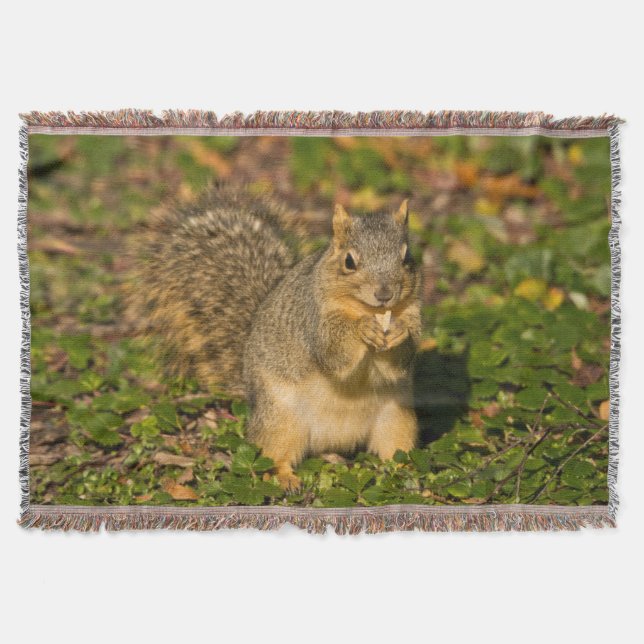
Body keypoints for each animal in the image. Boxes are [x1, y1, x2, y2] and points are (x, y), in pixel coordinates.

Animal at [129, 186, 422, 490]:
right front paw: (362, 329)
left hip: (397, 419)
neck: (368, 309)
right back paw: (284, 477)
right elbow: (334, 354)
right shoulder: (312, 320)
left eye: (406, 258)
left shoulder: (412, 312)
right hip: (280, 419)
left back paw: (406, 472)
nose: (385, 293)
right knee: (273, 454)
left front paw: (400, 333)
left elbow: (398, 363)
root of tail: (335, 440)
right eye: (349, 262)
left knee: (394, 449)